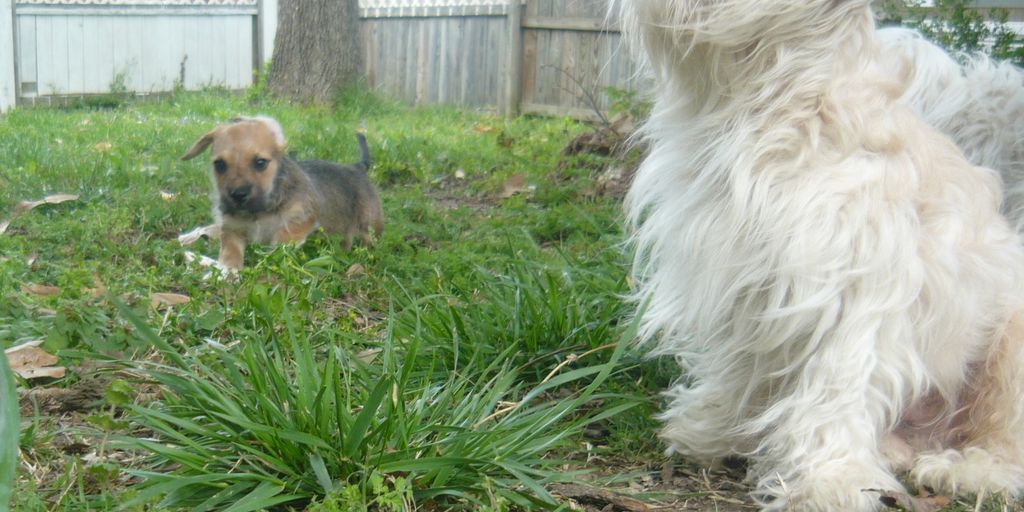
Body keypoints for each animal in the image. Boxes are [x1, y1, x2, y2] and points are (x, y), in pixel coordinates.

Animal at [180, 115, 385, 268]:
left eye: (260, 163)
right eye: (220, 165)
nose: (238, 195)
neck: (260, 211)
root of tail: (358, 167)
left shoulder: (302, 219)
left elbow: (281, 241)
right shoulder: (232, 229)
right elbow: (230, 252)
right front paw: (226, 272)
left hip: (369, 226)